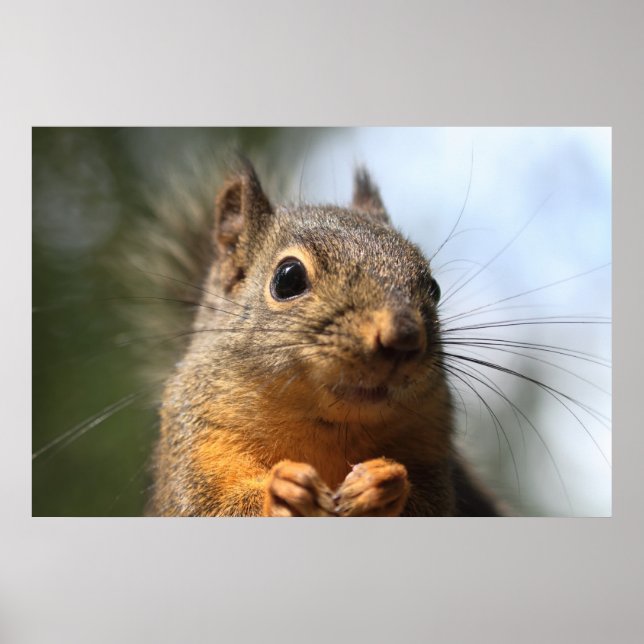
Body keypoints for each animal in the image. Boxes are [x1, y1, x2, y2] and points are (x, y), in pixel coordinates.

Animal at [148, 160, 501, 517]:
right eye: (288, 279)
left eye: (434, 288)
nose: (403, 337)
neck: (331, 429)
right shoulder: (198, 443)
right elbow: (208, 507)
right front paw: (280, 490)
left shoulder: (429, 445)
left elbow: (434, 504)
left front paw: (383, 484)